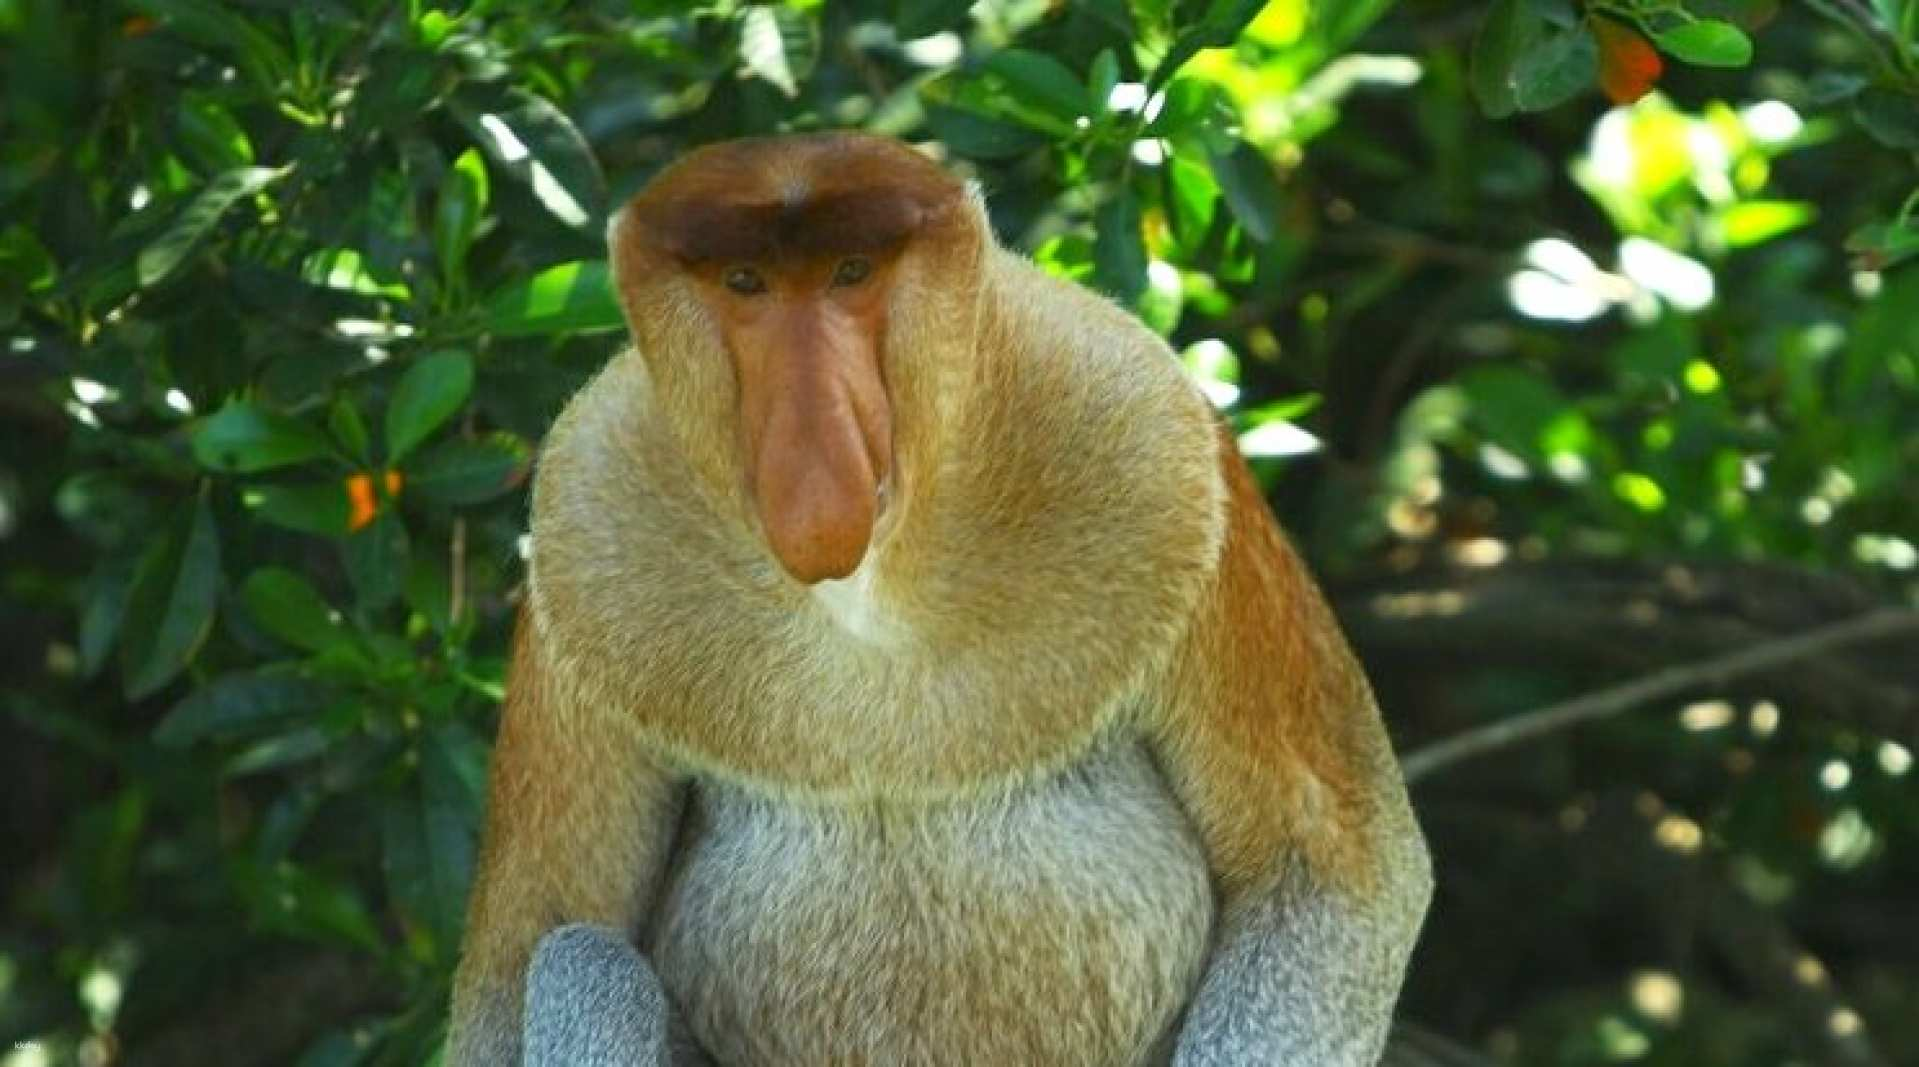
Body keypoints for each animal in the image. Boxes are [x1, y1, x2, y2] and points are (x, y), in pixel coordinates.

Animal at [447, 132, 1432, 1066]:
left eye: (850, 273)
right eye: (745, 284)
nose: (815, 448)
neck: (871, 589)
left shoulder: (1161, 443)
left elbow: (1322, 872)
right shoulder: (580, 522)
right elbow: (521, 948)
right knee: (582, 955)